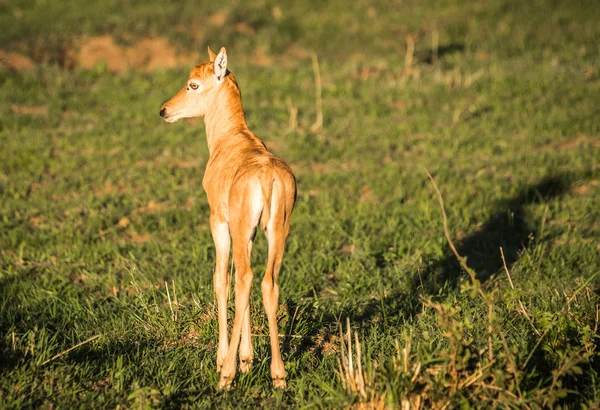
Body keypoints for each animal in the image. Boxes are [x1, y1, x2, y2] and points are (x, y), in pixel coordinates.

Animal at [161, 46, 296, 390]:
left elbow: (221, 279)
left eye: (193, 84)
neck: (234, 139)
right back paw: (278, 376)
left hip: (238, 228)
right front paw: (247, 360)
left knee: (245, 278)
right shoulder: (248, 233)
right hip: (277, 232)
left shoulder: (220, 223)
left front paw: (226, 359)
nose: (164, 110)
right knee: (266, 282)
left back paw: (226, 375)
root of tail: (267, 178)